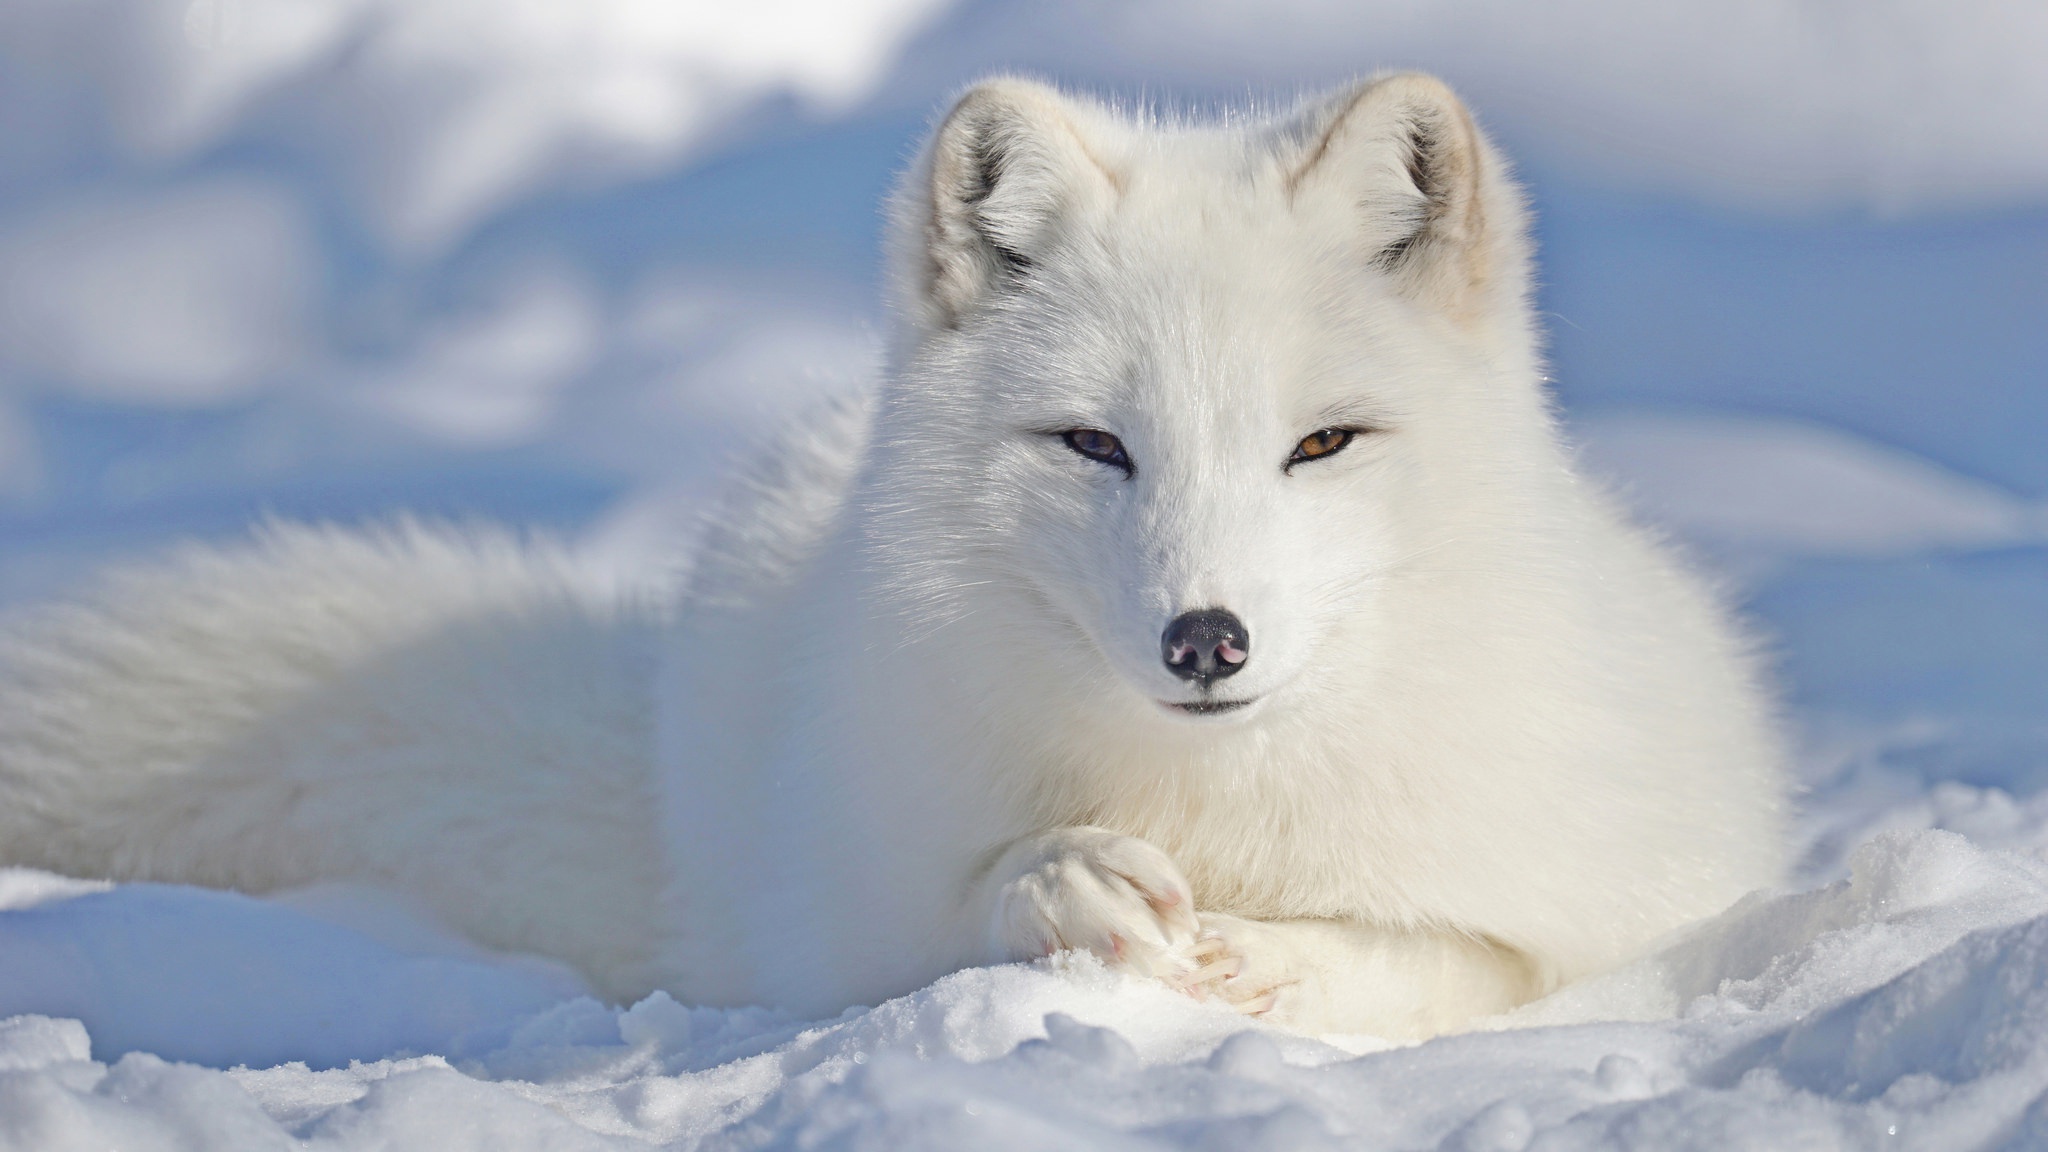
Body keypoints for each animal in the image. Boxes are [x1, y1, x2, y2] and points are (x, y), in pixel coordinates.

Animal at [0, 76, 1785, 1037]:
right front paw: (1069, 886)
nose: (1205, 640)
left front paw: (1274, 959)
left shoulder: (1621, 902)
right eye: (1095, 445)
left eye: (1323, 445)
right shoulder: (856, 920)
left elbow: (1458, 957)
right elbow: (963, 901)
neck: (1216, 805)